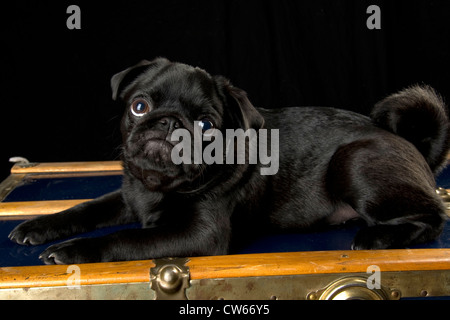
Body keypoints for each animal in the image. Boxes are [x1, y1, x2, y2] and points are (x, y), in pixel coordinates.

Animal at [7, 57, 450, 262]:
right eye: (139, 106)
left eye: (206, 124)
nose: (169, 122)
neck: (158, 189)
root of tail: (406, 140)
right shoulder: (129, 195)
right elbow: (85, 207)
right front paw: (40, 225)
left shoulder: (198, 235)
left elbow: (126, 239)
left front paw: (74, 251)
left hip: (354, 162)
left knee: (432, 216)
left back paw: (378, 237)